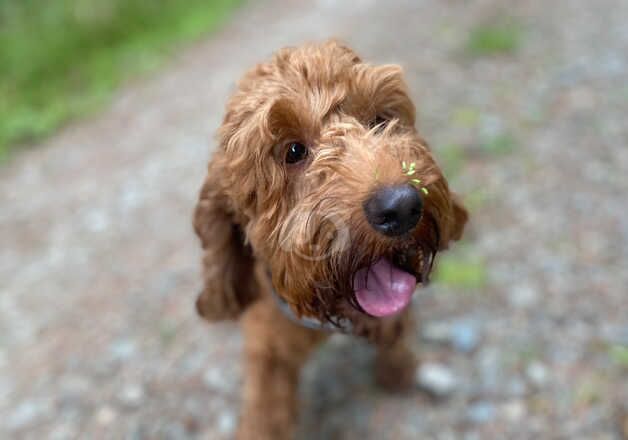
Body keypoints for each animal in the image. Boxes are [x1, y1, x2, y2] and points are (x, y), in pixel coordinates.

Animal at [194, 39, 468, 438]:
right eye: (293, 151)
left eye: (380, 120)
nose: (401, 208)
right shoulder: (266, 347)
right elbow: (265, 408)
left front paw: (399, 368)